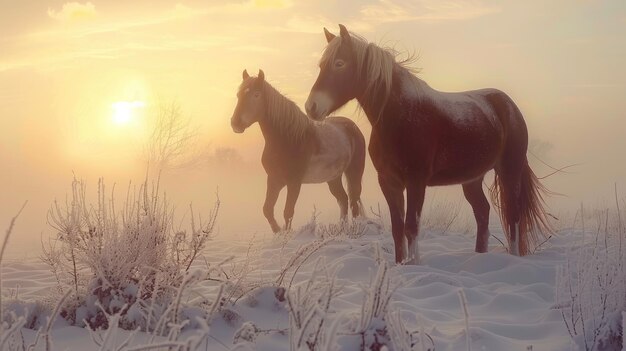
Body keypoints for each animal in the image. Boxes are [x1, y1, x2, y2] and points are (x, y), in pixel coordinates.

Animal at [232, 69, 364, 234]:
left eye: (256, 94)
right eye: (238, 95)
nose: (235, 123)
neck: (287, 139)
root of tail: (353, 127)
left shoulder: (294, 182)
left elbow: (288, 211)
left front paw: (286, 235)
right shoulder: (274, 180)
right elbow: (267, 209)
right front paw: (278, 232)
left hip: (354, 172)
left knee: (353, 201)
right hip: (334, 177)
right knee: (343, 199)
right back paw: (341, 230)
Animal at [304, 25, 552, 264]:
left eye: (339, 63)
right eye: (321, 65)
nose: (311, 107)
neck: (400, 116)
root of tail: (508, 105)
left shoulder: (416, 181)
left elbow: (411, 227)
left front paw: (414, 264)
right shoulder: (389, 182)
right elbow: (397, 230)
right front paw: (401, 265)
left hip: (510, 172)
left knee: (513, 217)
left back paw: (513, 258)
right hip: (472, 179)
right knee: (482, 213)